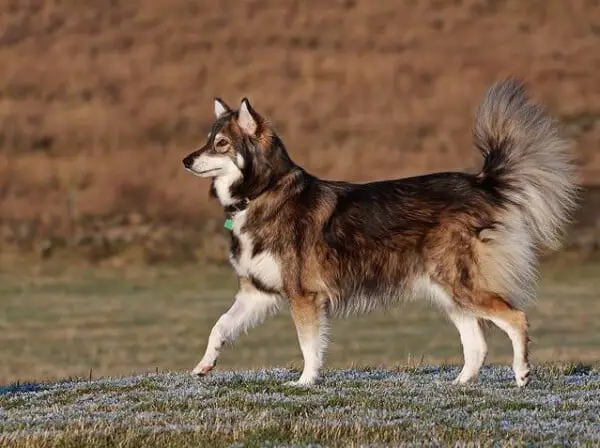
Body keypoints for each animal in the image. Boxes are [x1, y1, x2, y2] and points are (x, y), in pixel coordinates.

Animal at [182, 79, 576, 384]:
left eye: (221, 144)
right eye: (206, 140)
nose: (186, 160)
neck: (263, 192)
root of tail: (481, 183)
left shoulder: (304, 296)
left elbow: (308, 346)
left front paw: (306, 381)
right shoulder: (257, 292)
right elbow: (220, 327)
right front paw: (203, 366)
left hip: (460, 286)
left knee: (516, 318)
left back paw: (521, 373)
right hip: (448, 291)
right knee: (476, 344)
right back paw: (458, 383)